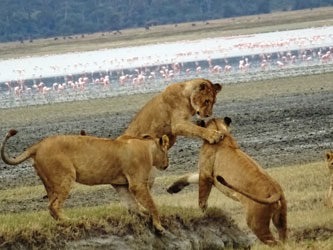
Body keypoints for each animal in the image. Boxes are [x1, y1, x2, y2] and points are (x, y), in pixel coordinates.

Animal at [0, 130, 169, 231]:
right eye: (166, 151)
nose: (167, 164)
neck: (148, 147)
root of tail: (37, 145)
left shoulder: (120, 185)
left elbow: (132, 204)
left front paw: (143, 215)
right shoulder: (137, 184)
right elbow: (151, 204)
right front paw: (158, 225)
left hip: (50, 184)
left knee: (50, 206)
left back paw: (62, 222)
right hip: (65, 177)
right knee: (54, 206)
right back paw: (72, 221)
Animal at [167, 117, 286, 246]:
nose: (197, 121)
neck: (219, 130)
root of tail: (275, 191)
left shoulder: (206, 174)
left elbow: (202, 198)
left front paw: (201, 214)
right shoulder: (207, 174)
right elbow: (190, 176)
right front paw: (172, 187)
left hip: (256, 221)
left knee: (275, 242)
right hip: (281, 219)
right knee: (283, 237)